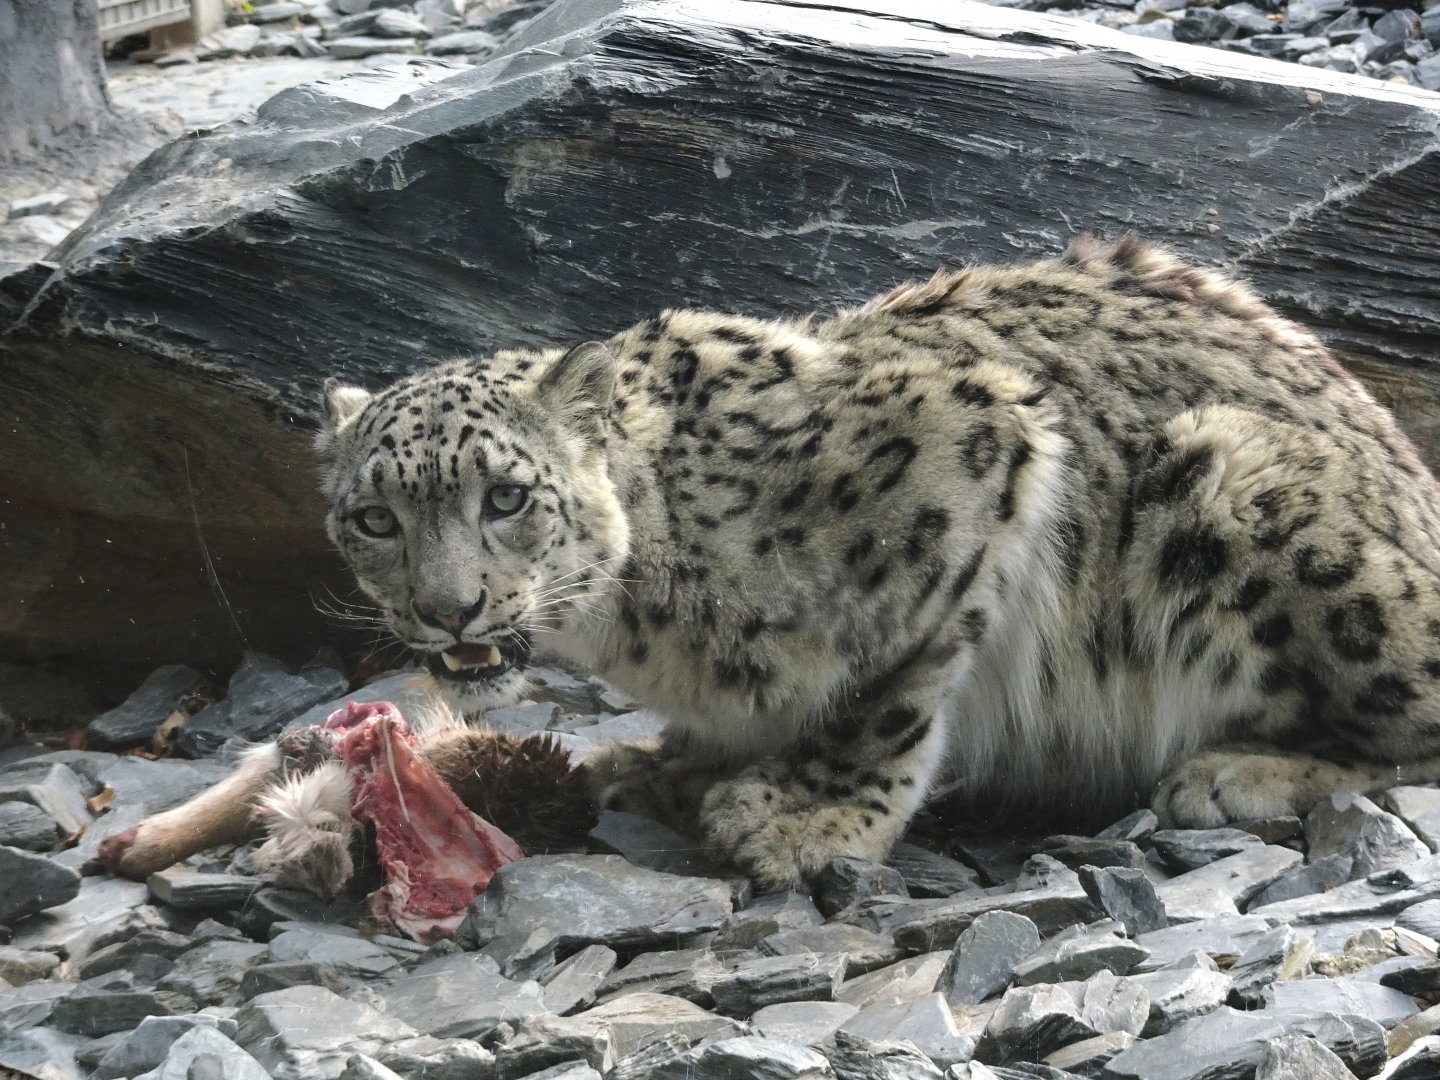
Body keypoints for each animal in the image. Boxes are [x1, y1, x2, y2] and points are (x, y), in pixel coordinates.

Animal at [314, 235, 1440, 891]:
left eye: (506, 496)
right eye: (373, 518)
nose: (449, 609)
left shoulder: (972, 448)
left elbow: (886, 688)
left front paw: (803, 817)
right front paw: (663, 763)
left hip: (1241, 486)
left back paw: (1237, 771)